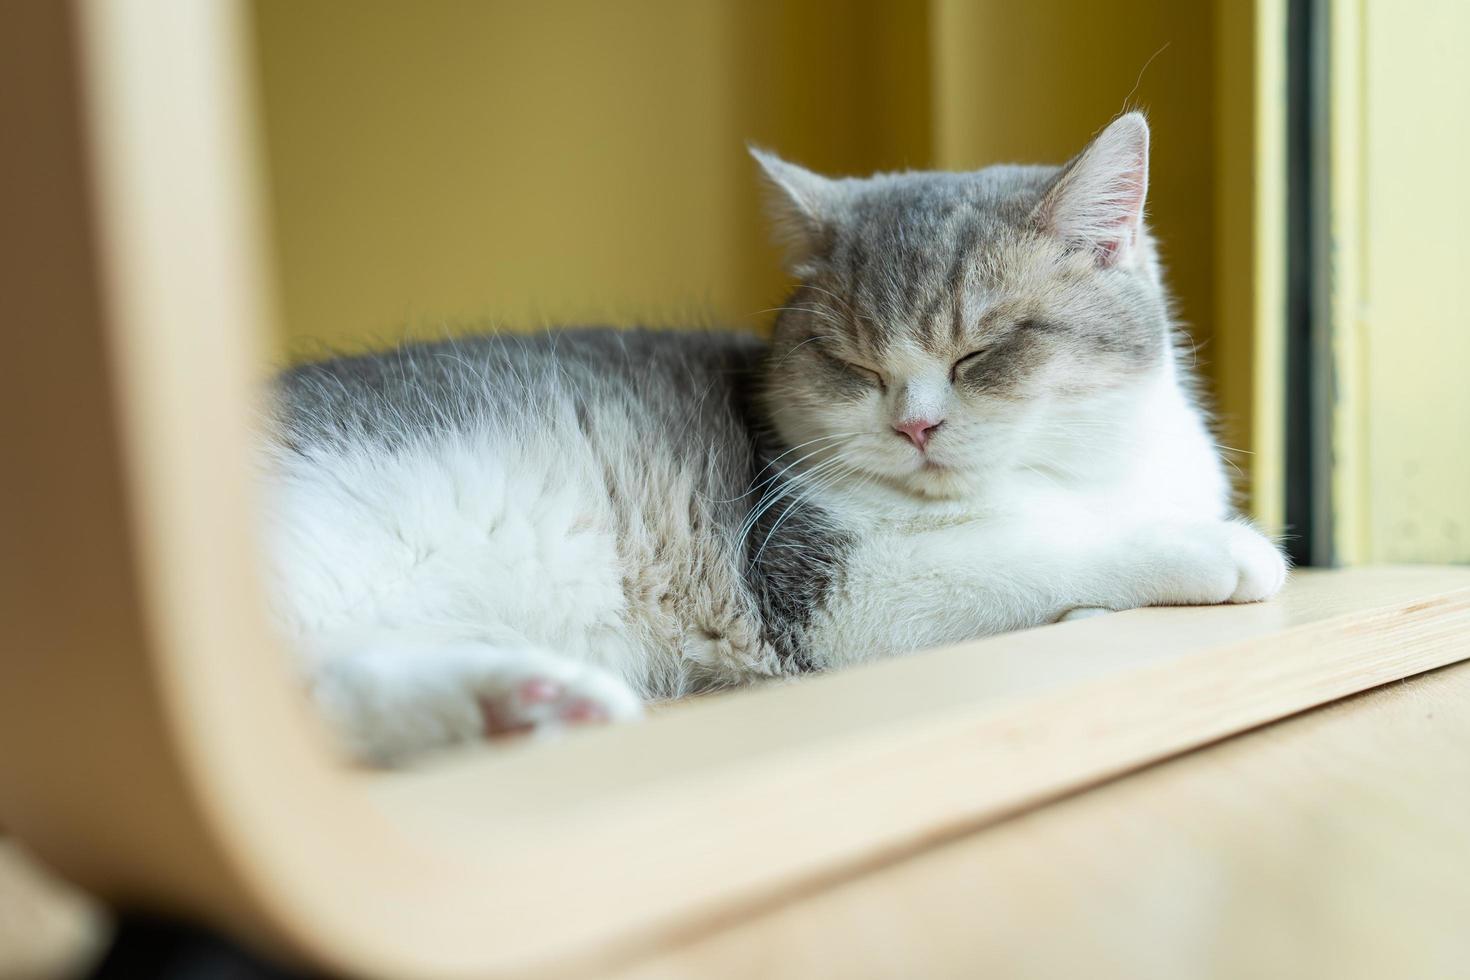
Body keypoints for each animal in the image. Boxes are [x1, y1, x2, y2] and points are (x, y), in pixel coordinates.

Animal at [261, 110, 1287, 764]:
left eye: (981, 351)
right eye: (850, 360)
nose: (915, 422)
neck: (1076, 471)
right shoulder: (838, 588)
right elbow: (1043, 551)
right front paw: (1218, 549)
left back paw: (526, 704)